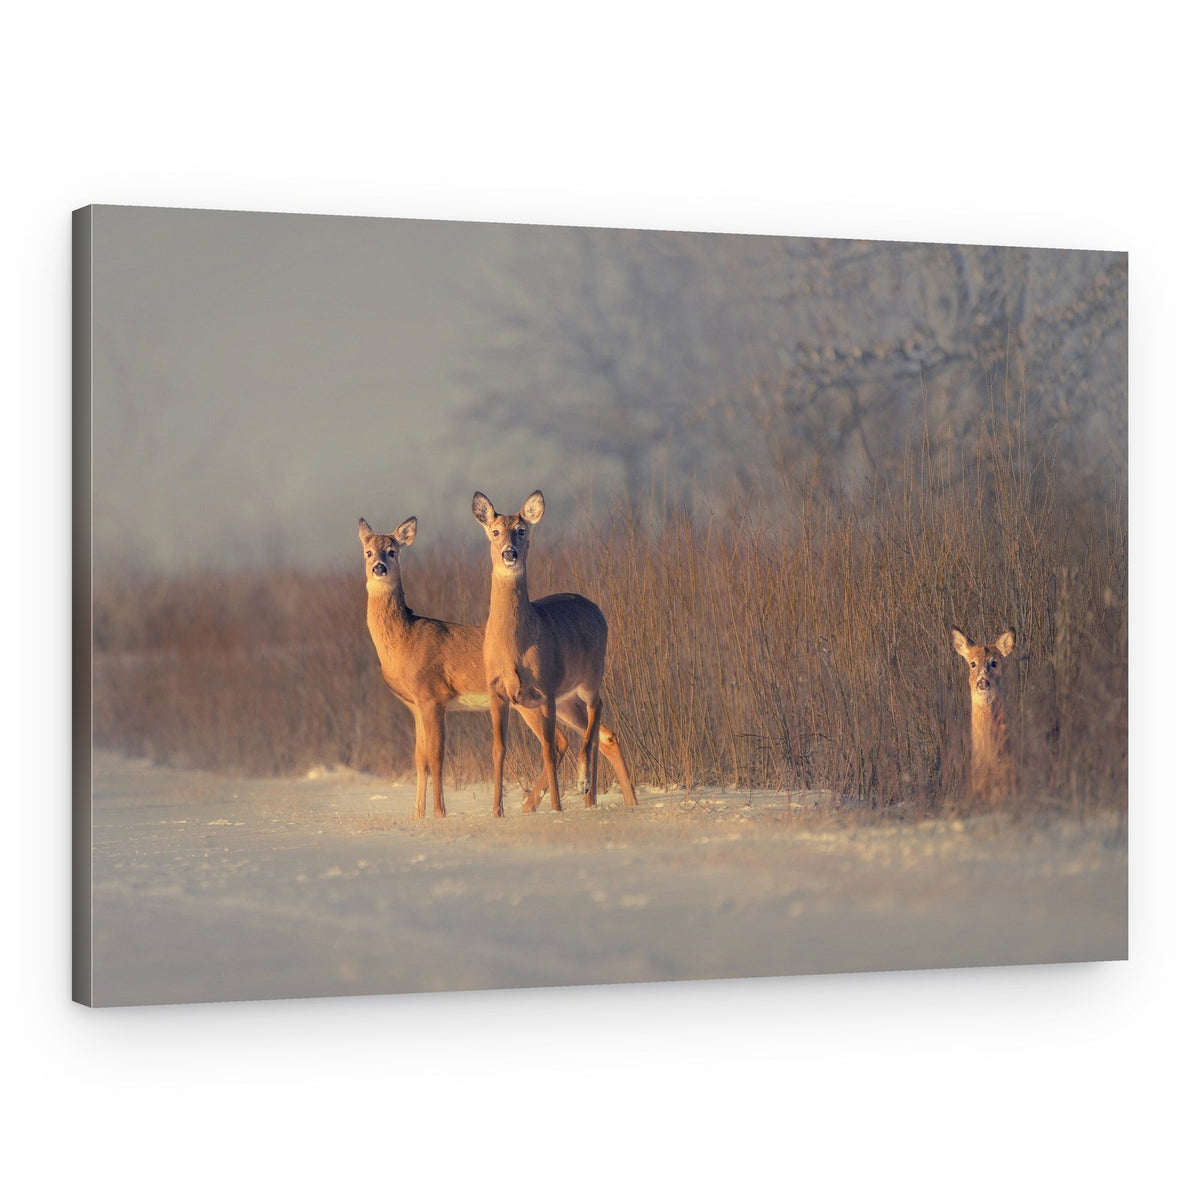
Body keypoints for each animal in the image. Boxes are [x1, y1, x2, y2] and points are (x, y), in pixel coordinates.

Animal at [359, 515, 576, 818]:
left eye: (392, 551)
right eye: (368, 552)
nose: (379, 567)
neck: (404, 641)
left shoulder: (433, 696)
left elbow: (436, 756)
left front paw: (440, 813)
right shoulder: (415, 705)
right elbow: (420, 758)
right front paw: (418, 816)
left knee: (558, 740)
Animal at [471, 490, 637, 817]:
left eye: (522, 530)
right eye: (495, 531)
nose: (509, 553)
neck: (515, 646)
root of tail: (596, 608)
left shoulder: (545, 688)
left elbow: (547, 748)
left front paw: (558, 807)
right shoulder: (499, 691)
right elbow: (498, 750)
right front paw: (496, 812)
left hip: (589, 676)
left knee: (596, 711)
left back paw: (585, 784)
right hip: (564, 700)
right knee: (602, 733)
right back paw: (608, 800)